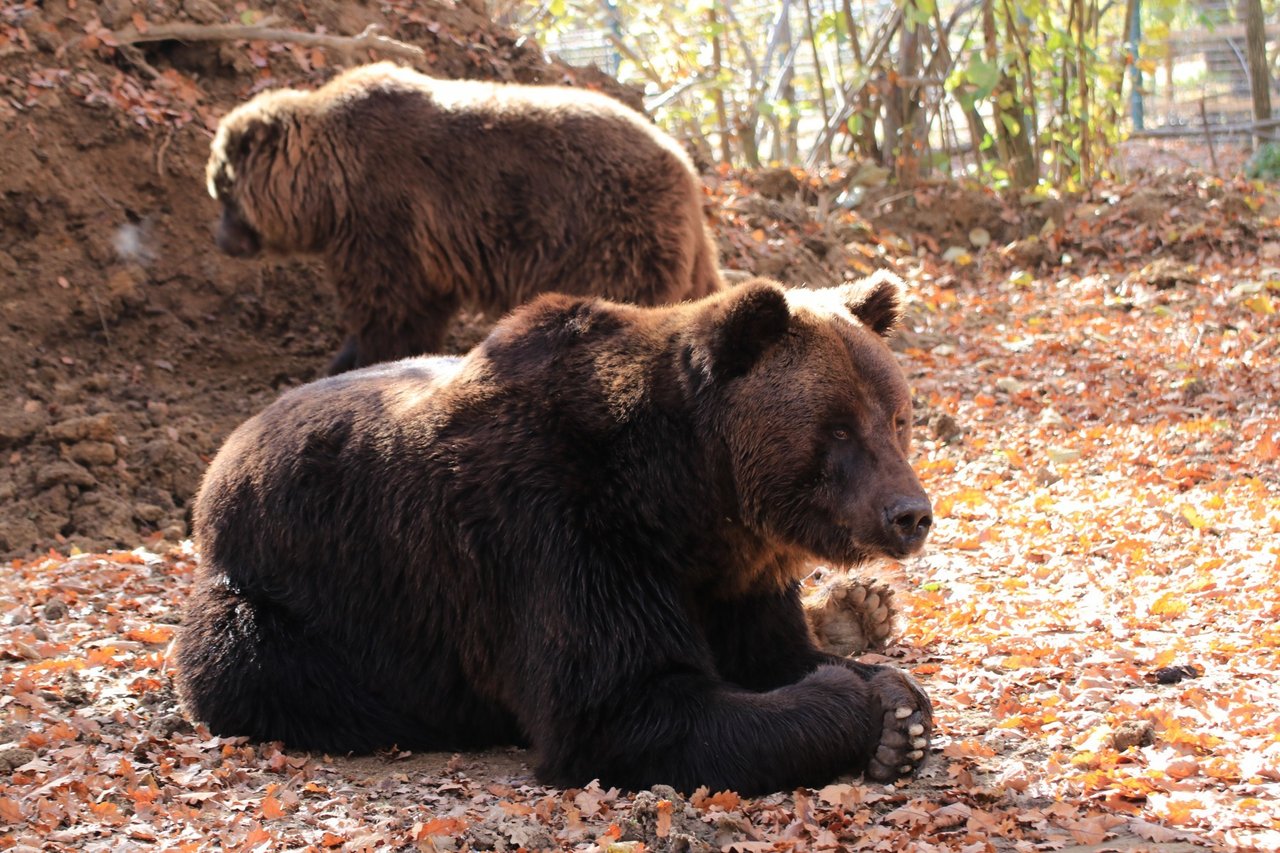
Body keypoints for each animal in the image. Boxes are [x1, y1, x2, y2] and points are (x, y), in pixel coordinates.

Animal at [175, 272, 936, 788]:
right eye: (838, 427)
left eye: (897, 417)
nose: (910, 512)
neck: (683, 497)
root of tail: (221, 456)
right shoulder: (557, 528)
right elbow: (625, 707)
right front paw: (863, 704)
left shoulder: (730, 574)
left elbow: (772, 653)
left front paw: (897, 705)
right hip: (289, 594)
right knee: (250, 662)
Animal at [204, 63, 716, 371]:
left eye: (223, 190)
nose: (221, 240)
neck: (329, 182)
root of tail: (688, 171)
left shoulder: (384, 211)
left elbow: (389, 305)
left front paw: (355, 358)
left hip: (610, 233)